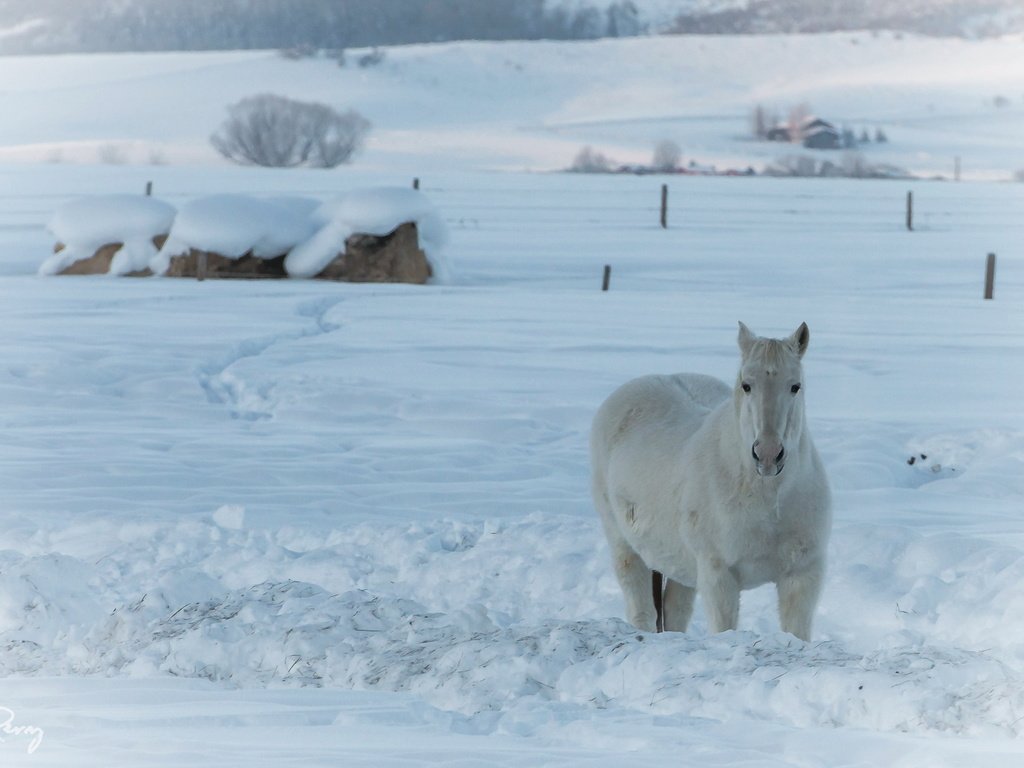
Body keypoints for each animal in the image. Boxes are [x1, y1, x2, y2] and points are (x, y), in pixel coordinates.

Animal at [593, 321, 831, 638]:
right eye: (746, 385)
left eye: (795, 386)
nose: (768, 455)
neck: (768, 500)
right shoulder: (718, 575)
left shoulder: (802, 574)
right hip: (624, 546)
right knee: (641, 609)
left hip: (679, 564)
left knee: (675, 611)